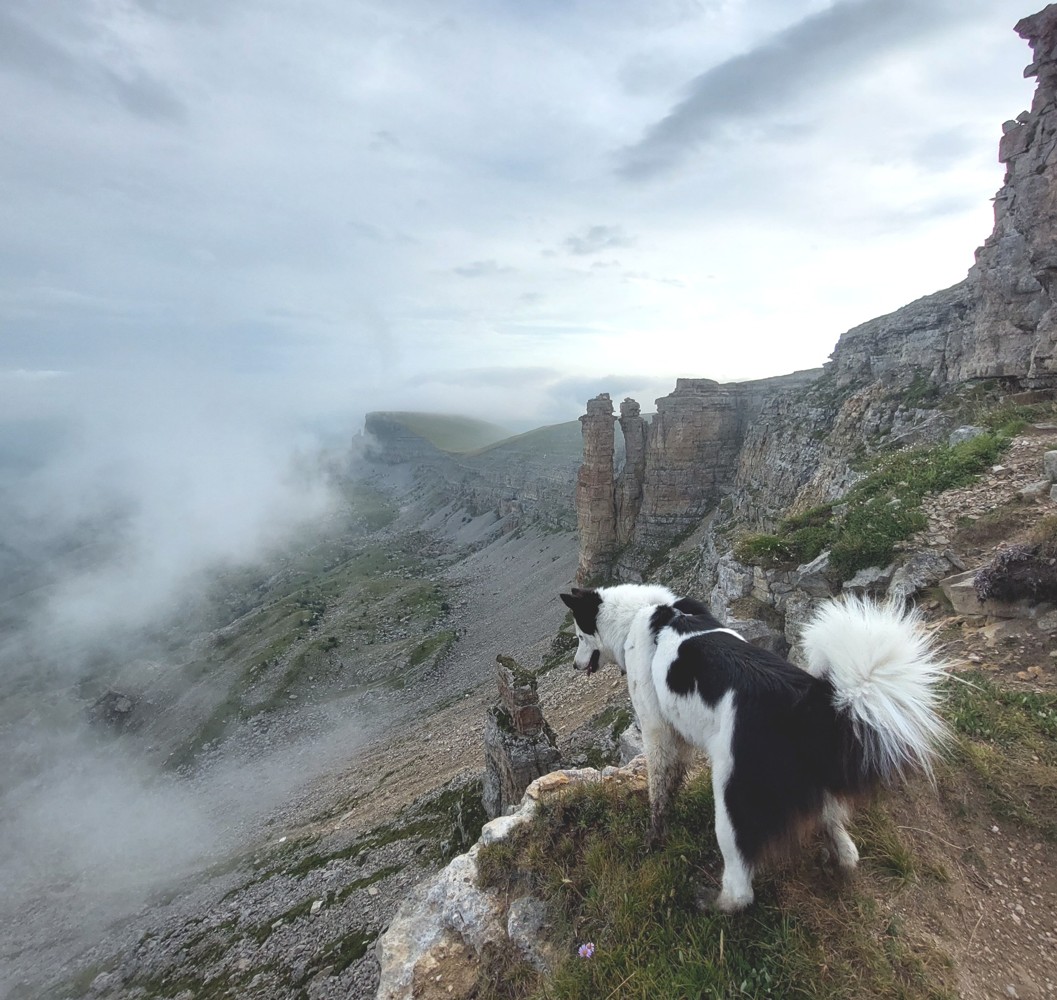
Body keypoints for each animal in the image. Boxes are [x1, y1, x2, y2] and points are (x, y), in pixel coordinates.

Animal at [562, 579, 951, 909]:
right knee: (840, 836)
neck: (647, 613)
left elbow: (658, 791)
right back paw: (837, 855)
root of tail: (805, 706)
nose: (575, 665)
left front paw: (654, 839)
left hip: (731, 795)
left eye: (580, 635)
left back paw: (712, 903)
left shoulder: (657, 729)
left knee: (741, 886)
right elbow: (672, 782)